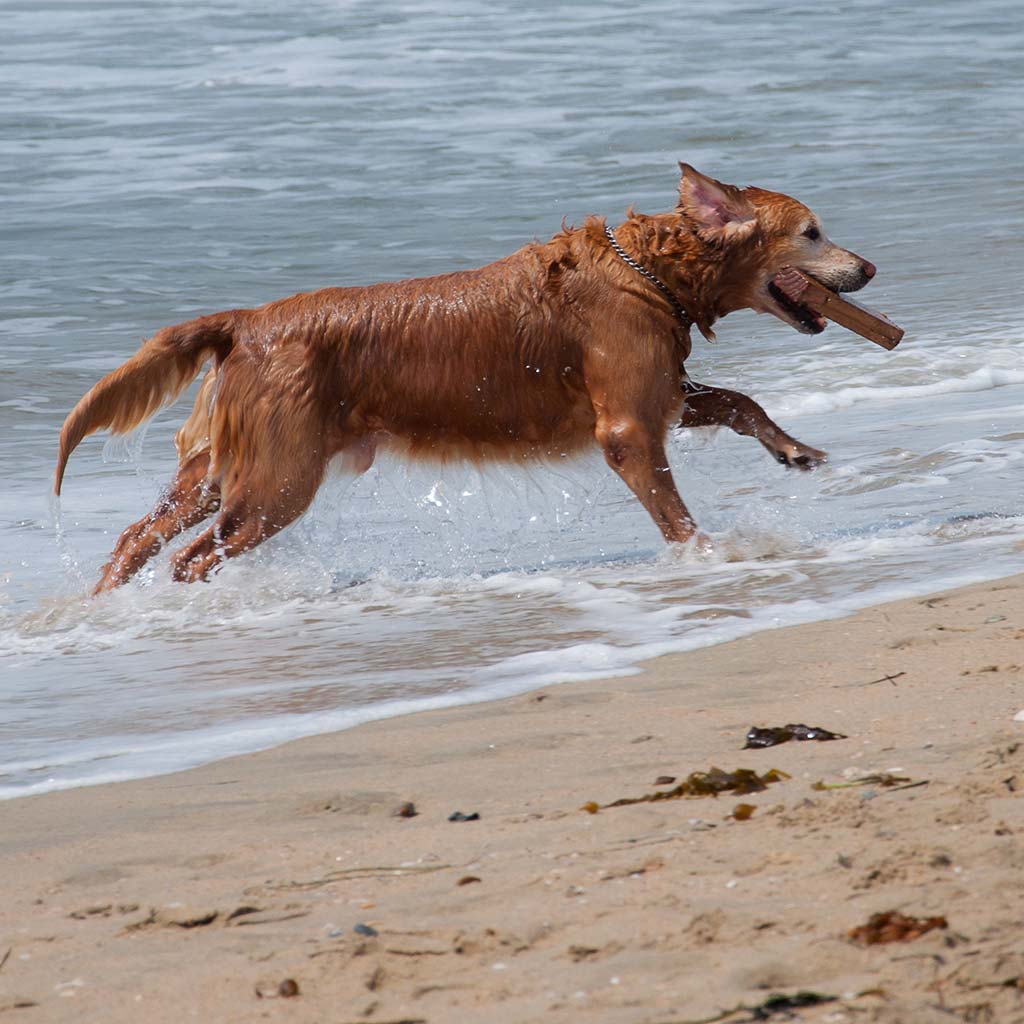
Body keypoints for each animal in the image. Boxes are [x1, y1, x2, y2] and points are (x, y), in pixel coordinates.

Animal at [56, 162, 872, 589]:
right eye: (812, 232)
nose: (867, 268)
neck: (649, 273)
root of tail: (245, 321)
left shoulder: (658, 392)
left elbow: (738, 399)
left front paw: (794, 450)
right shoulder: (626, 424)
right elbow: (672, 508)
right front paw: (709, 554)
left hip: (225, 467)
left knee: (136, 537)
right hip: (276, 481)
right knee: (192, 557)